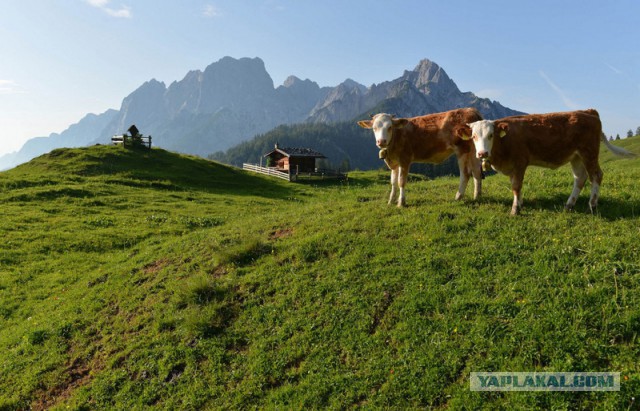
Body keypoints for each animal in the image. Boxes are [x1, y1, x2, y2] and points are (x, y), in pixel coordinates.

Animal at [456, 109, 636, 216]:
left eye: (491, 135)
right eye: (473, 136)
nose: (482, 153)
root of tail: (588, 111)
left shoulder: (520, 162)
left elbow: (516, 186)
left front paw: (515, 209)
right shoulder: (513, 166)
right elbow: (516, 186)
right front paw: (520, 202)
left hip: (589, 153)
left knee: (596, 176)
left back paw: (592, 206)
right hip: (576, 156)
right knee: (580, 178)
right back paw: (569, 205)